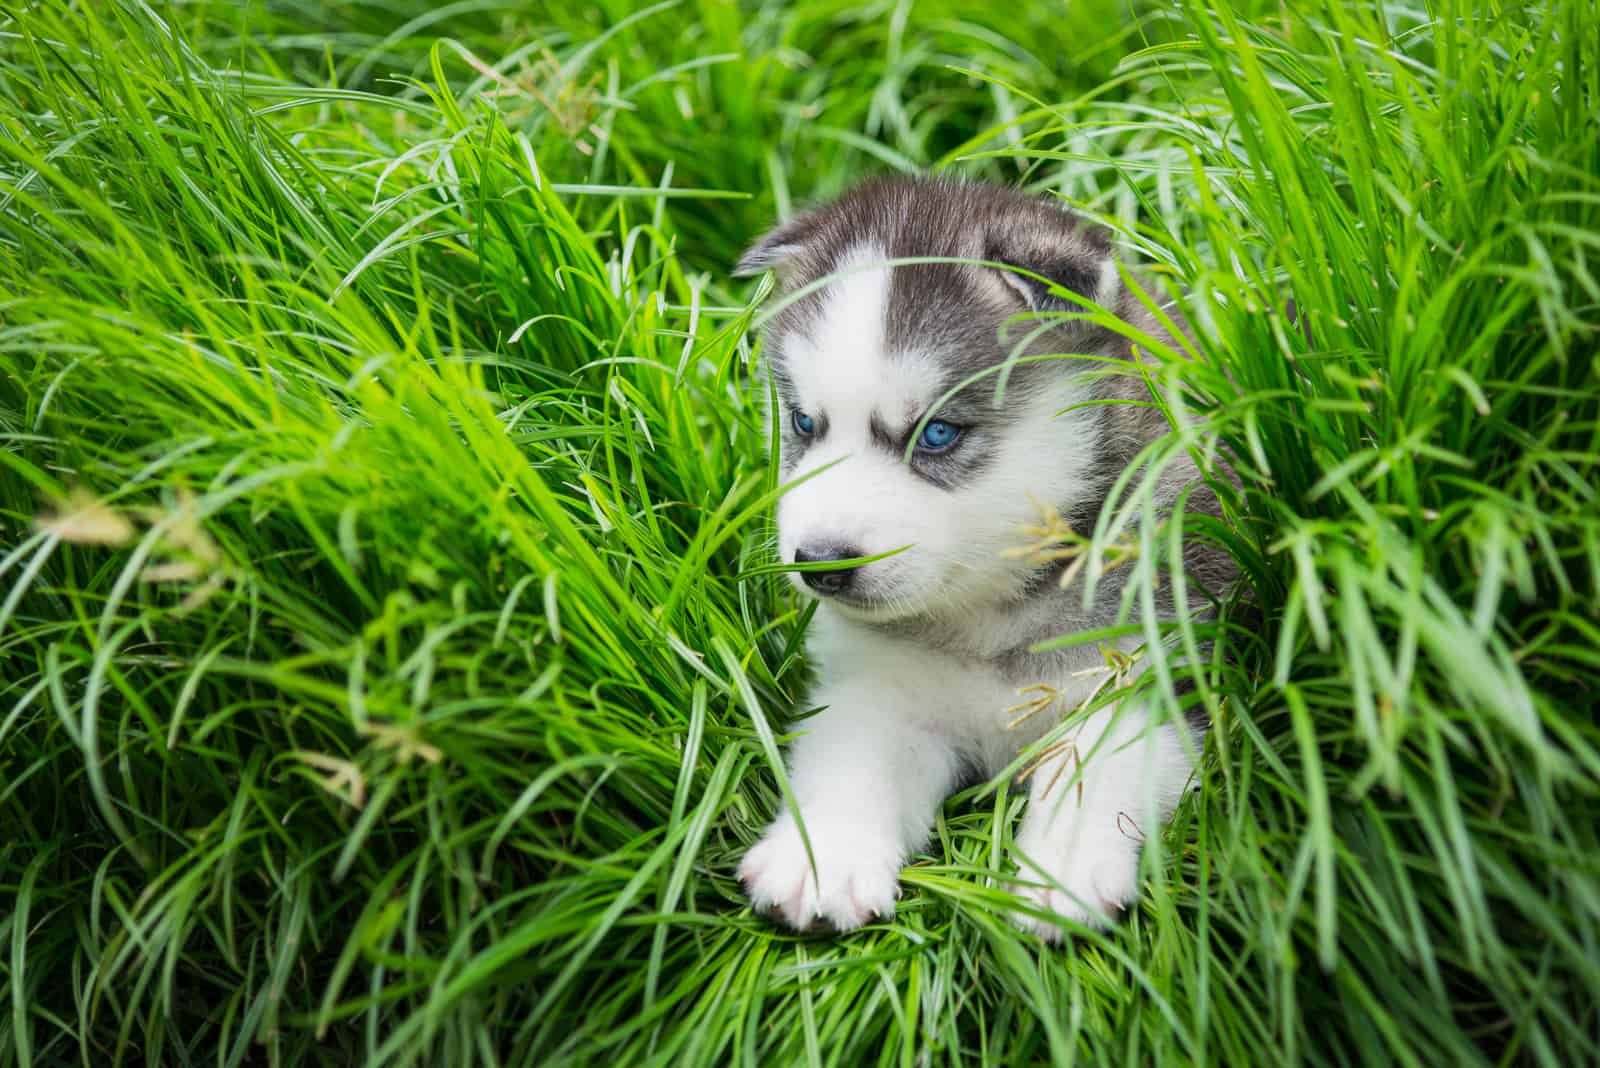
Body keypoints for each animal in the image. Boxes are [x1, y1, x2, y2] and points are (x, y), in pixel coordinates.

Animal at [732, 173, 1228, 933]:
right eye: (804, 423)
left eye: (937, 433)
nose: (819, 561)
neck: (992, 614)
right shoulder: (880, 687)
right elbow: (853, 758)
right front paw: (827, 856)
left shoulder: (1157, 675)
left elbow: (1093, 766)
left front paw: (1061, 869)